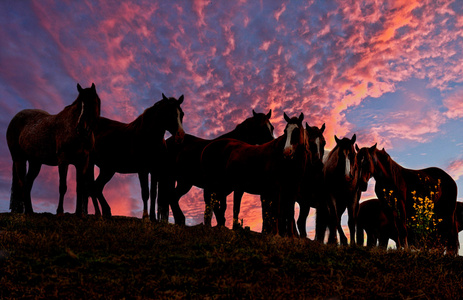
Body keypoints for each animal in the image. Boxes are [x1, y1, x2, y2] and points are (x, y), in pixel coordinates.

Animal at [6, 82, 101, 214]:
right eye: (80, 105)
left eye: (93, 102)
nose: (81, 128)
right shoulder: (63, 160)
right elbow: (63, 186)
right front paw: (60, 211)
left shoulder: (83, 162)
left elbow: (80, 187)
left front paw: (78, 213)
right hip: (19, 159)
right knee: (22, 184)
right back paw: (26, 211)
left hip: (35, 163)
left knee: (28, 184)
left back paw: (30, 211)